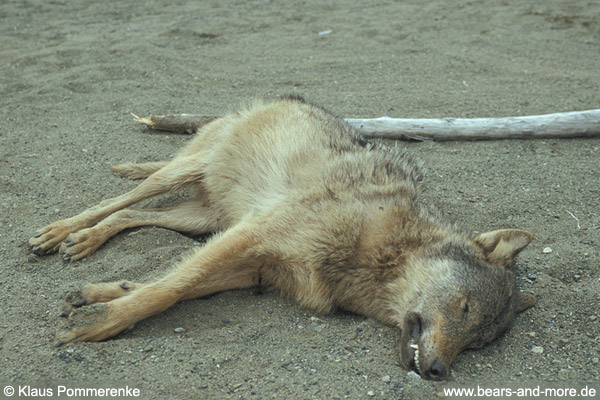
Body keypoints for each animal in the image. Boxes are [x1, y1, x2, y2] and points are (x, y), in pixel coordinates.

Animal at [28, 95, 536, 380]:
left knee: (132, 214)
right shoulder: (252, 234)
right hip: (184, 176)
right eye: (464, 308)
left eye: (477, 343)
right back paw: (61, 233)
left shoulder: (256, 267)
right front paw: (99, 322)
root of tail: (291, 97)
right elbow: (167, 290)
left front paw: (102, 294)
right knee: (120, 198)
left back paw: (85, 242)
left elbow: (174, 284)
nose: (437, 373)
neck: (379, 250)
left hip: (201, 220)